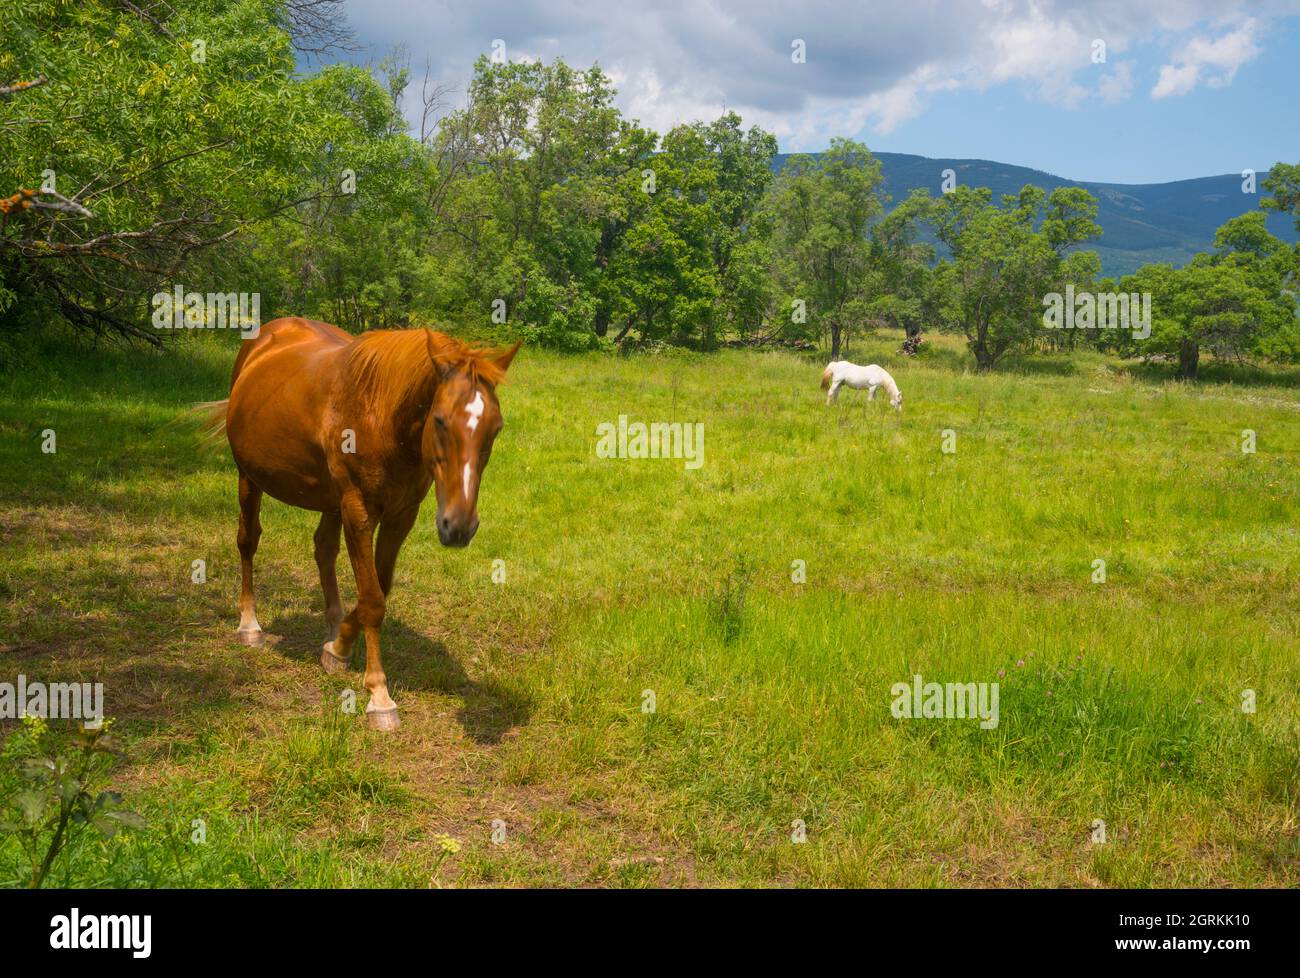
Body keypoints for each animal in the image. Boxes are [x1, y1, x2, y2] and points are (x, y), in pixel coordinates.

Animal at [206, 317, 519, 730]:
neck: (381, 417)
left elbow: (379, 587)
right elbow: (372, 600)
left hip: (329, 499)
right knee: (248, 541)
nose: (459, 527)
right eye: (439, 420)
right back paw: (249, 626)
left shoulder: (401, 515)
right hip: (249, 477)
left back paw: (332, 623)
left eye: (495, 428)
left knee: (323, 549)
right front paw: (379, 695)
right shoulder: (358, 511)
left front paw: (338, 645)